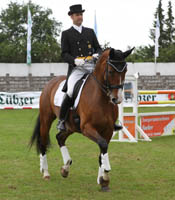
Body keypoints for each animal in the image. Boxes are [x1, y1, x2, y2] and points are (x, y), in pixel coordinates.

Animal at [29, 47, 134, 191]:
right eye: (111, 71)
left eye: (125, 71)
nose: (117, 99)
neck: (101, 98)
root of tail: (50, 83)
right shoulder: (87, 128)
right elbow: (103, 145)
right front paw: (106, 175)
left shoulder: (108, 130)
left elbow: (102, 150)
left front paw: (102, 180)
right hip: (47, 119)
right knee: (43, 142)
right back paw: (46, 172)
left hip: (71, 126)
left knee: (59, 137)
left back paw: (65, 168)